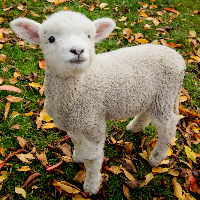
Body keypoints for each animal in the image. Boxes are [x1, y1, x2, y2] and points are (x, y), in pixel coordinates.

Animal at [10, 10, 186, 195]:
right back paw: (134, 127)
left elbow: (92, 158)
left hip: (165, 95)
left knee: (168, 127)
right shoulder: (74, 121)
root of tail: (179, 59)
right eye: (51, 39)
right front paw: (77, 156)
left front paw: (91, 186)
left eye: (89, 36)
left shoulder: (93, 123)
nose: (77, 50)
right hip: (154, 95)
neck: (80, 86)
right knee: (147, 112)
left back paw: (156, 157)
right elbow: (76, 141)